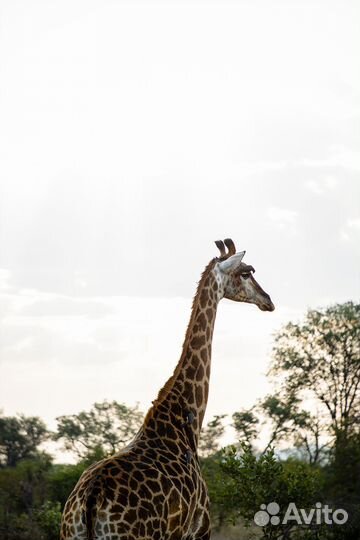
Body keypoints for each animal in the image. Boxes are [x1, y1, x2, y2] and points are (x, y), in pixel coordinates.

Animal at [61, 238, 272, 536]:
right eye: (246, 272)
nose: (268, 301)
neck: (185, 417)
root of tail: (90, 500)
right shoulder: (199, 528)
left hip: (70, 531)